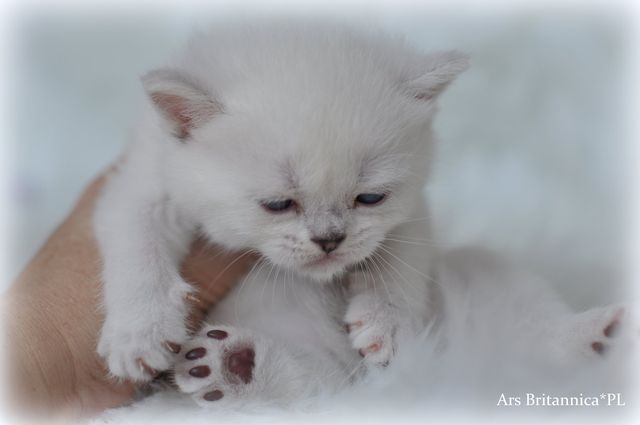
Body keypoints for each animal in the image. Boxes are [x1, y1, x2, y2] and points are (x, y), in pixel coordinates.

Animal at [94, 21, 630, 408]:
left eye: (370, 198)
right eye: (277, 204)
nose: (329, 239)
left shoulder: (410, 209)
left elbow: (402, 256)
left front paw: (387, 322)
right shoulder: (140, 185)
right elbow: (136, 242)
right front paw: (139, 331)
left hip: (479, 278)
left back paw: (597, 338)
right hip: (317, 370)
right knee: (307, 382)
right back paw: (233, 363)